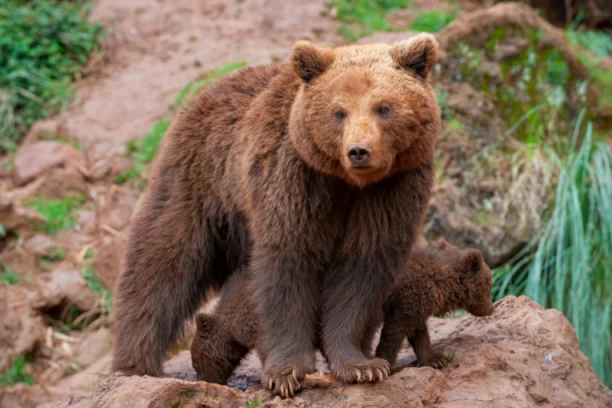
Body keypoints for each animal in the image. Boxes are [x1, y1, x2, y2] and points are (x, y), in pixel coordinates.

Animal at [111, 33, 440, 396]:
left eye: (383, 107)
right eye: (339, 111)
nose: (359, 151)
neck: (347, 182)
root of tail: (206, 91)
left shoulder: (391, 190)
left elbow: (362, 269)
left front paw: (362, 365)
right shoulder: (294, 180)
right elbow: (288, 264)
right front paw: (287, 373)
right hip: (201, 180)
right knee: (162, 260)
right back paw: (134, 365)